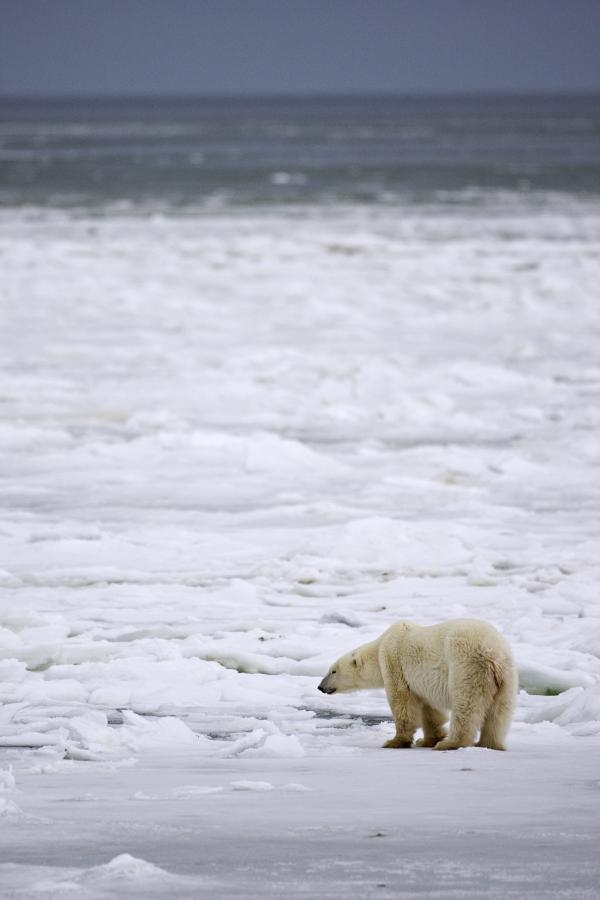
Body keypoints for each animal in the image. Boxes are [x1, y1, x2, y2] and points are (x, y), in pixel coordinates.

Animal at [316, 620, 516, 752]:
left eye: (333, 671)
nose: (320, 687)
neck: (380, 645)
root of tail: (493, 654)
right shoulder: (423, 683)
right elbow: (430, 710)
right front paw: (428, 740)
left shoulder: (394, 661)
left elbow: (402, 701)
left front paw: (395, 741)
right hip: (506, 678)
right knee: (499, 714)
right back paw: (488, 744)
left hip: (466, 667)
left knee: (466, 706)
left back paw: (451, 743)